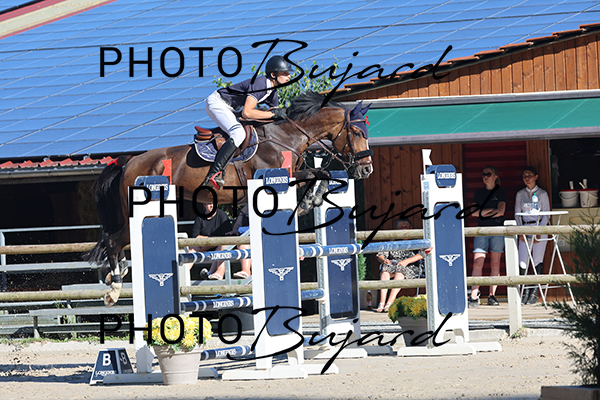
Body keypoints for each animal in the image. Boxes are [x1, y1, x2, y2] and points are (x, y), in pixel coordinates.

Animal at [85, 91, 373, 306]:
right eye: (358, 133)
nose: (366, 169)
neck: (285, 136)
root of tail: (128, 162)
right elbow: (317, 173)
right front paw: (308, 202)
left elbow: (320, 173)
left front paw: (310, 201)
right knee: (113, 241)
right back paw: (113, 290)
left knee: (116, 242)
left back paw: (115, 276)